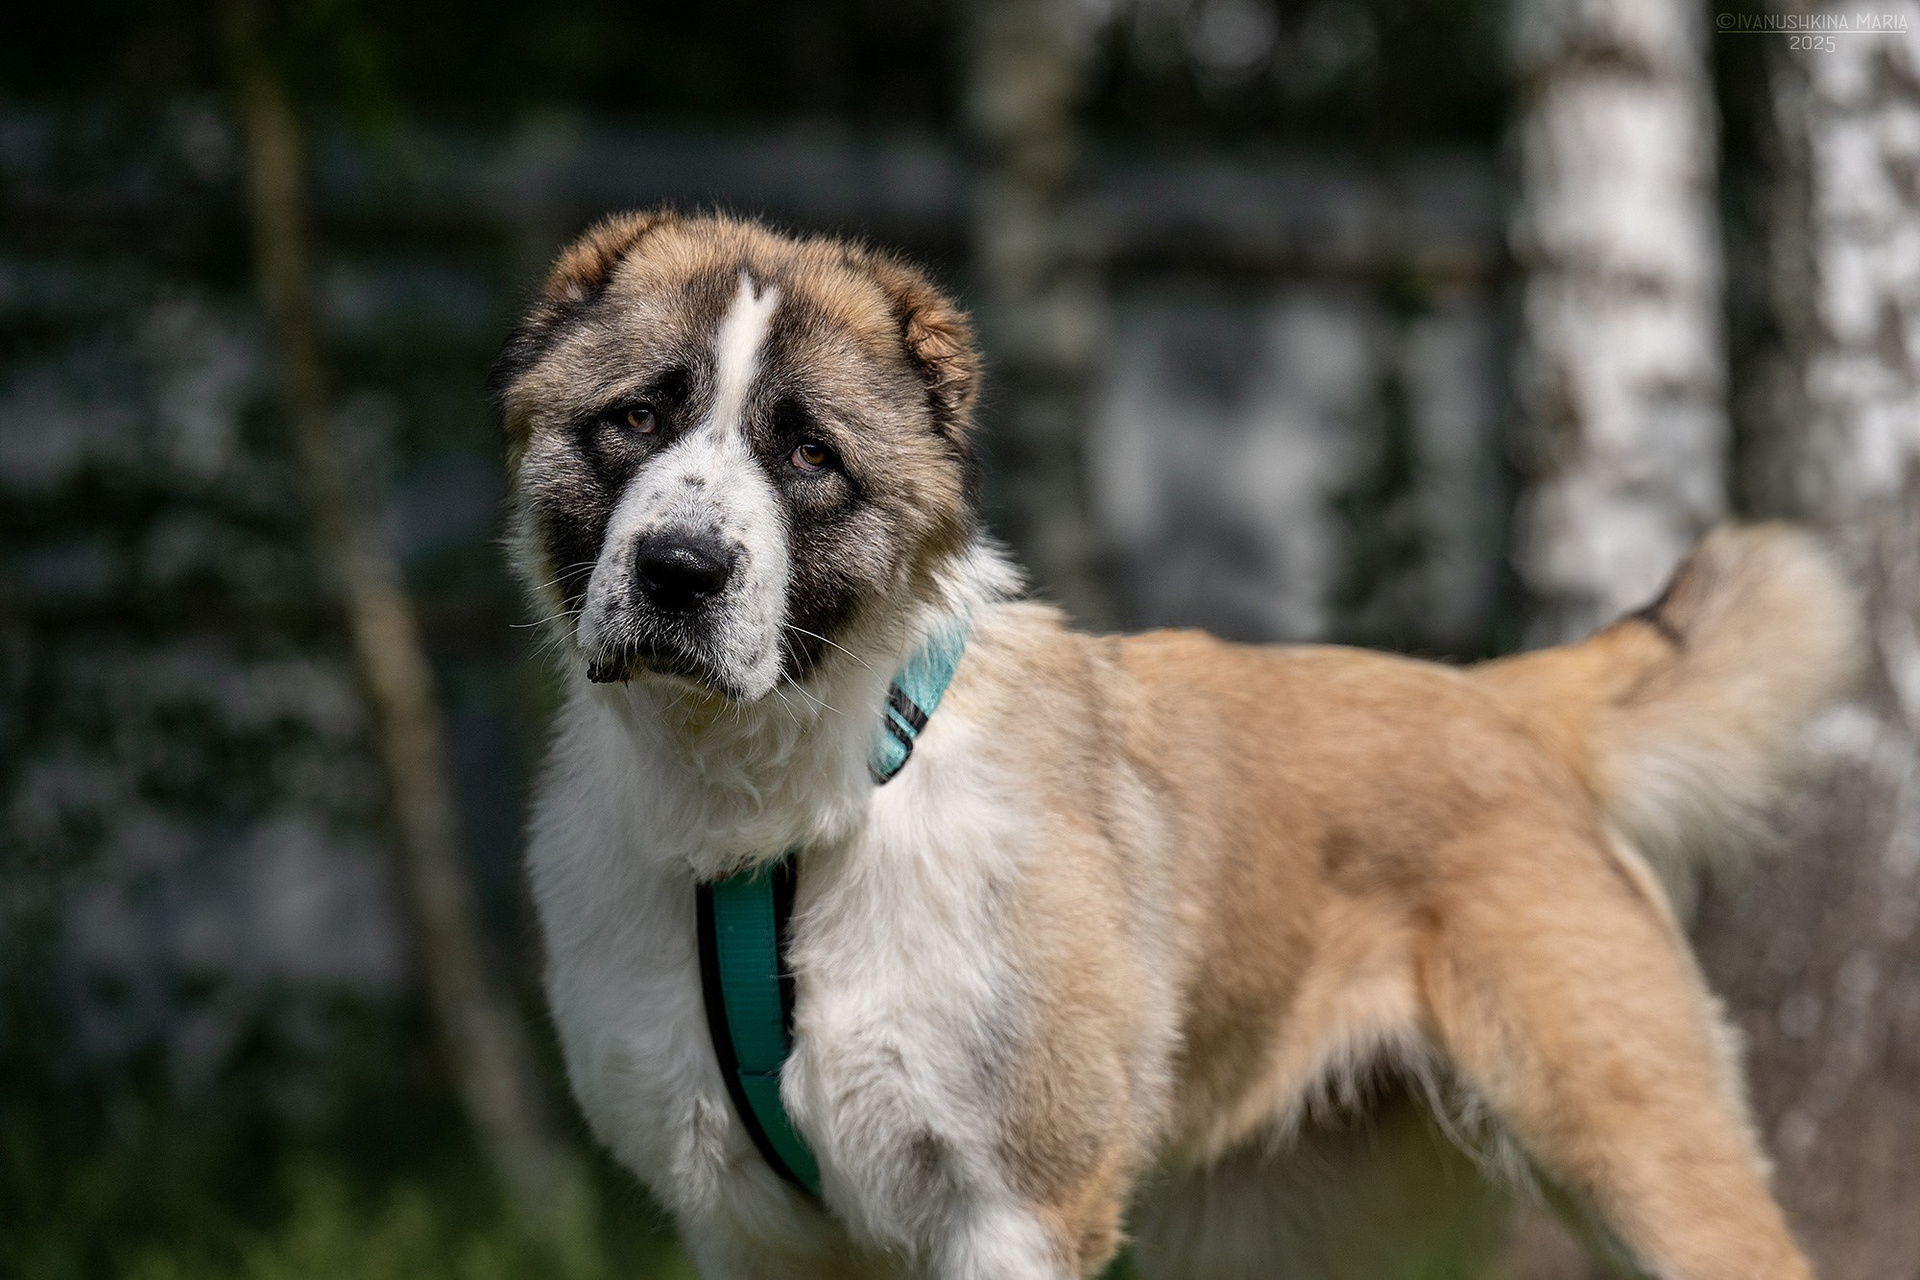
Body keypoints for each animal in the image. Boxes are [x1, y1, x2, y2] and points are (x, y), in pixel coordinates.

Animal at [493, 211, 1857, 1279]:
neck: (795, 815)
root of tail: (1502, 702)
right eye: (635, 418)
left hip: (1652, 1170)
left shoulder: (1021, 1211)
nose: (680, 568)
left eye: (809, 454)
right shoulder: (750, 1231)